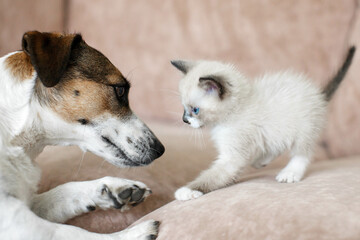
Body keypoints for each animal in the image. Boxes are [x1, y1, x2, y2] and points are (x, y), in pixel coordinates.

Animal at [0, 31, 165, 239]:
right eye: (120, 89)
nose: (161, 150)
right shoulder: (14, 218)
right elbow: (72, 233)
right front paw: (130, 234)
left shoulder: (29, 202)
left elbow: (62, 192)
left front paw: (113, 189)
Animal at [171, 47, 354, 201]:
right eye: (183, 107)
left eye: (195, 110)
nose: (184, 120)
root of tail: (319, 96)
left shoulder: (232, 157)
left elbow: (212, 176)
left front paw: (187, 191)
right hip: (279, 131)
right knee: (277, 145)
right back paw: (261, 161)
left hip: (303, 130)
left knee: (302, 154)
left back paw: (290, 173)